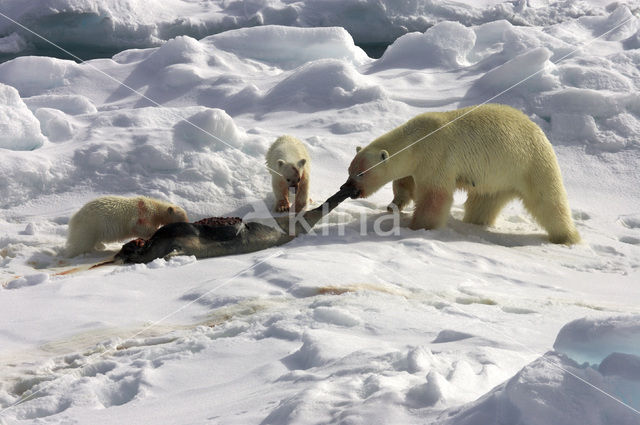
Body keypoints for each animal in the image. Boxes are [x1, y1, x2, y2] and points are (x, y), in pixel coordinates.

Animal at [342, 103, 584, 245]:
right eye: (350, 171)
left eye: (361, 173)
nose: (348, 189)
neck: (416, 140)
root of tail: (541, 132)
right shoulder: (416, 165)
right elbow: (405, 182)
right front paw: (394, 205)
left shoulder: (436, 156)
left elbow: (435, 196)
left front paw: (418, 227)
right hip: (497, 179)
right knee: (483, 202)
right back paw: (476, 222)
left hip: (530, 164)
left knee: (547, 201)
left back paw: (567, 237)